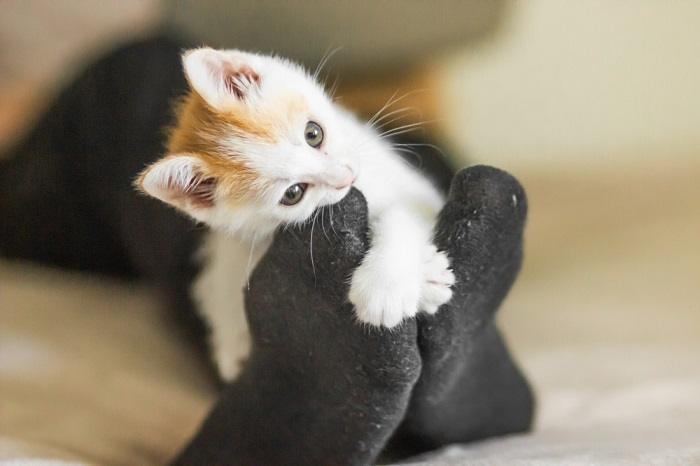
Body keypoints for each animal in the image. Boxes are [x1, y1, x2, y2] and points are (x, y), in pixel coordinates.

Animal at [136, 48, 454, 382]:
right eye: (293, 194)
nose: (346, 177)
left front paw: (385, 287)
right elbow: (229, 258)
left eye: (313, 133)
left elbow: (403, 215)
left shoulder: (418, 193)